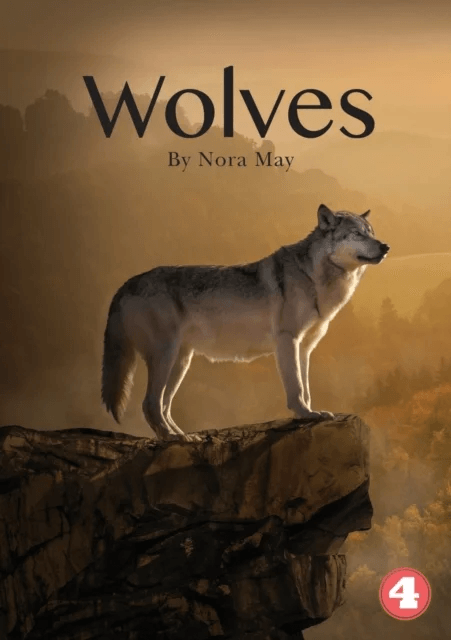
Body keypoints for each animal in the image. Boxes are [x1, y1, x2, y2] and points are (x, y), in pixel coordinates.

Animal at [101, 204, 389, 441]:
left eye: (372, 232)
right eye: (358, 234)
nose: (386, 246)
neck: (314, 278)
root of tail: (126, 284)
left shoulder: (305, 348)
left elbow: (306, 387)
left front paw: (311, 412)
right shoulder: (287, 341)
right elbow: (296, 387)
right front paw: (305, 414)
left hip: (181, 362)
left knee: (163, 405)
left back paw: (183, 435)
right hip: (166, 356)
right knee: (150, 404)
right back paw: (174, 439)